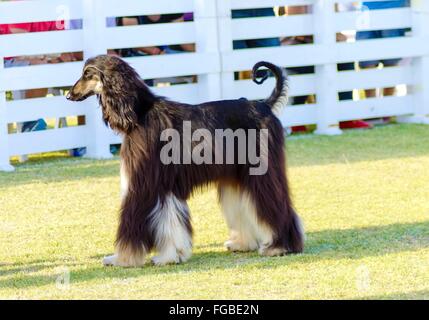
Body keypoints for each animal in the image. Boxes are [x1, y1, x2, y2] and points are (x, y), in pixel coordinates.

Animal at [67, 55, 302, 268]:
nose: (69, 95)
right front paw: (172, 256)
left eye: (87, 74)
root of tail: (265, 106)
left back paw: (279, 246)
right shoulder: (165, 186)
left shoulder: (143, 184)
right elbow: (171, 221)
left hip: (260, 172)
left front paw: (122, 259)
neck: (139, 114)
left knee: (276, 204)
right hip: (236, 176)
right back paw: (243, 244)